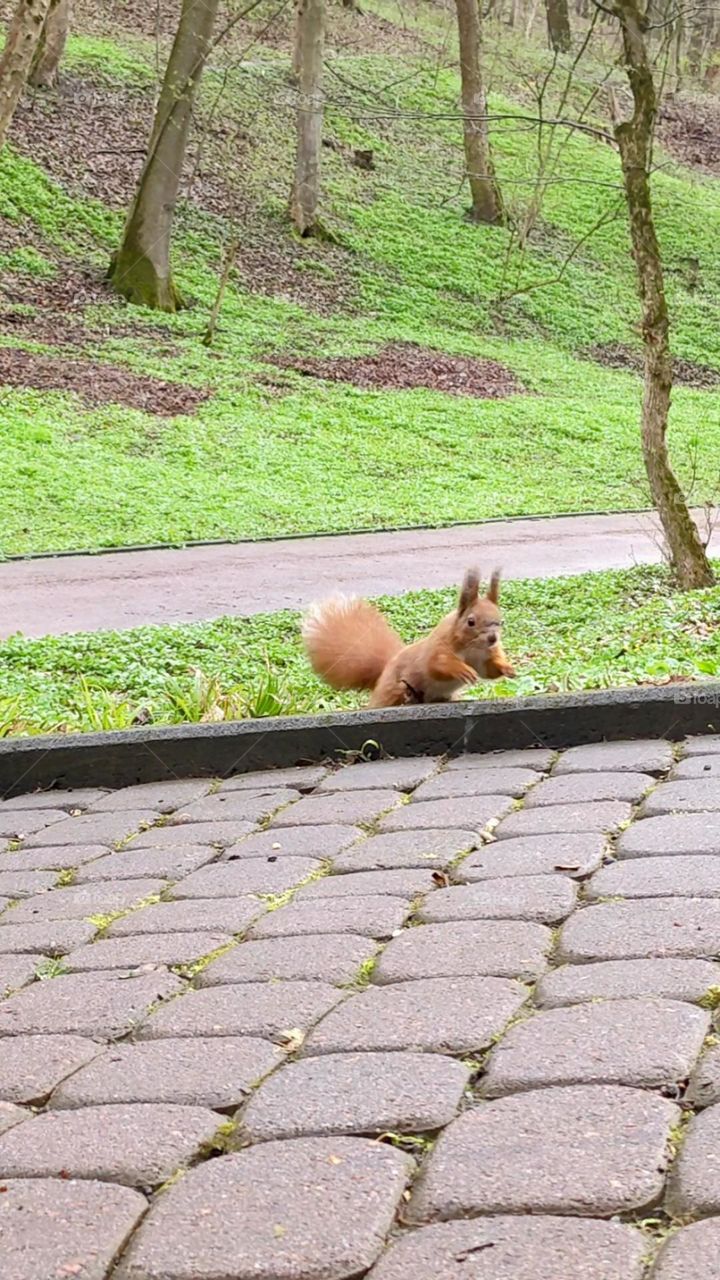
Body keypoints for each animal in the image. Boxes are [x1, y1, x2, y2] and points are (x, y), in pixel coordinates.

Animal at [302, 567, 516, 708]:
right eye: (471, 622)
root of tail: (385, 670)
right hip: (394, 690)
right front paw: (462, 670)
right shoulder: (438, 648)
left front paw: (507, 667)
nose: (493, 638)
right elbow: (437, 665)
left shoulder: (484, 658)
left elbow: (488, 671)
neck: (472, 648)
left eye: (501, 621)